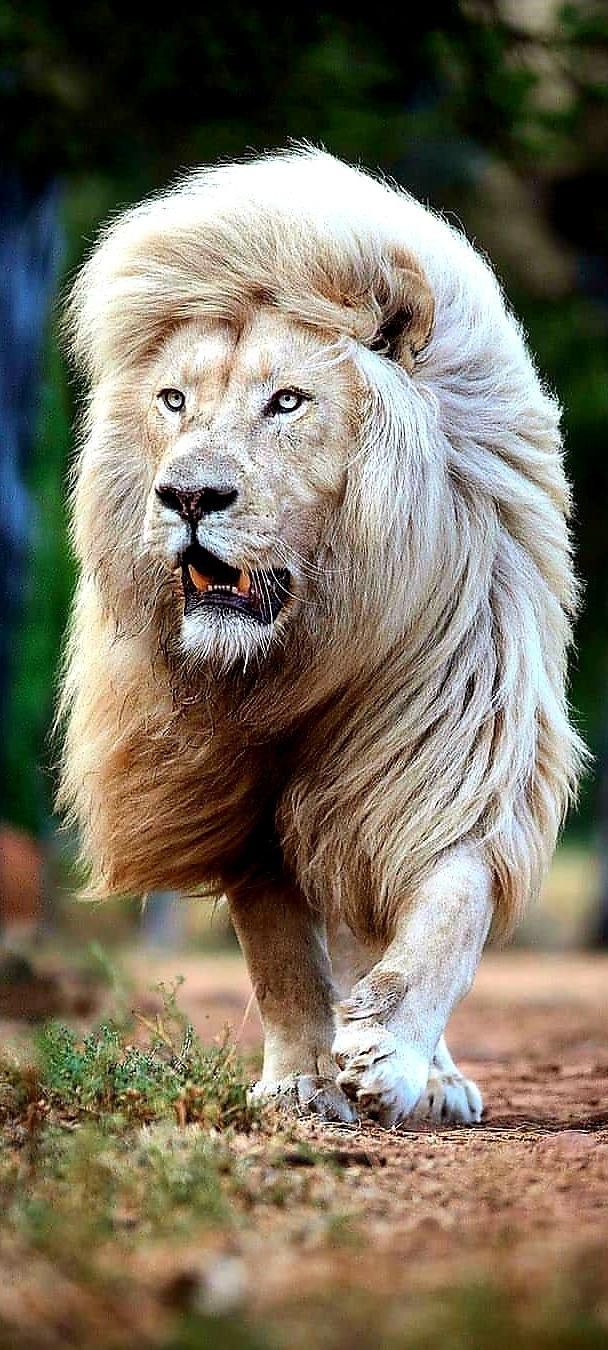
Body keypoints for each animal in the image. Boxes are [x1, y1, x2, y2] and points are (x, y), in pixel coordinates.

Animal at [58, 147, 583, 1126]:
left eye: (287, 402)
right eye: (174, 401)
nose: (188, 496)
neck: (305, 652)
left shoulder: (451, 748)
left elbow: (448, 912)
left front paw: (391, 1058)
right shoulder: (228, 790)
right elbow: (281, 957)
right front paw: (302, 1081)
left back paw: (435, 1080)